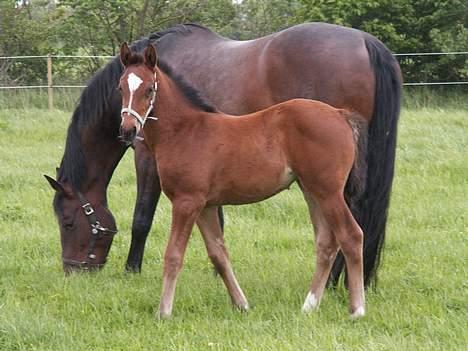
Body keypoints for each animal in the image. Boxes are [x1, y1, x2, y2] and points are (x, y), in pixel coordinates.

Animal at [44, 22, 402, 288]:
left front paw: (132, 269)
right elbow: (217, 220)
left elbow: (141, 218)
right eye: (120, 88)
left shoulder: (146, 157)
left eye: (68, 222)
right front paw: (219, 273)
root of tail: (367, 42)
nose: (72, 270)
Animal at [118, 43, 370, 320]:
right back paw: (309, 306)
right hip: (311, 191)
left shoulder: (186, 202)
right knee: (326, 243)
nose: (128, 130)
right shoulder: (205, 206)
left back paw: (357, 309)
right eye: (120, 88)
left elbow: (173, 255)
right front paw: (241, 304)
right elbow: (218, 254)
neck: (184, 131)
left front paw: (163, 312)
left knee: (351, 235)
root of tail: (340, 114)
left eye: (149, 89)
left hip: (329, 192)